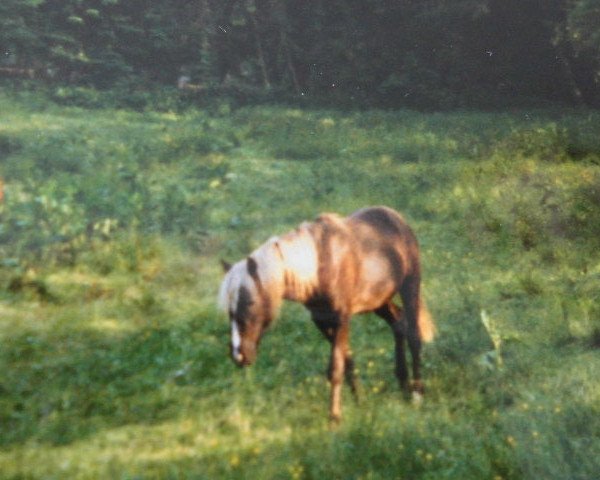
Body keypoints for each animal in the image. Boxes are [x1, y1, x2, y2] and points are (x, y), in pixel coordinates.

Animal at [218, 205, 434, 420]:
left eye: (250, 302)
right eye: (229, 309)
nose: (238, 355)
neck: (319, 267)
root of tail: (395, 217)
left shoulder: (341, 319)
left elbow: (336, 368)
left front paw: (334, 418)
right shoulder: (322, 320)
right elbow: (346, 362)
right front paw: (359, 402)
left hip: (410, 286)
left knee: (414, 335)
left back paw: (417, 394)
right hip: (379, 300)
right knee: (398, 323)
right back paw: (404, 385)